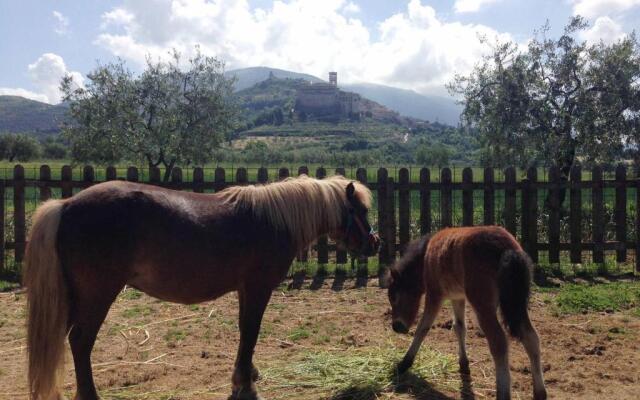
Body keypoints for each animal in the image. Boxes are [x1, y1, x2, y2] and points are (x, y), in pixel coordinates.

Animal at [25, 175, 380, 400]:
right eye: (361, 210)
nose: (375, 243)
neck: (272, 220)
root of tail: (66, 205)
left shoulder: (245, 289)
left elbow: (245, 330)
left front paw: (246, 374)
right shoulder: (258, 287)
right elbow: (252, 330)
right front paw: (245, 384)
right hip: (98, 294)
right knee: (81, 342)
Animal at [384, 227, 544, 400]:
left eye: (394, 297)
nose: (396, 327)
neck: (425, 257)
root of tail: (508, 250)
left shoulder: (434, 295)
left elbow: (422, 328)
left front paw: (404, 364)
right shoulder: (458, 297)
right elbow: (459, 327)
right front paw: (464, 365)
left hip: (482, 304)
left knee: (499, 342)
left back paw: (503, 392)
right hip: (517, 304)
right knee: (531, 338)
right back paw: (540, 392)